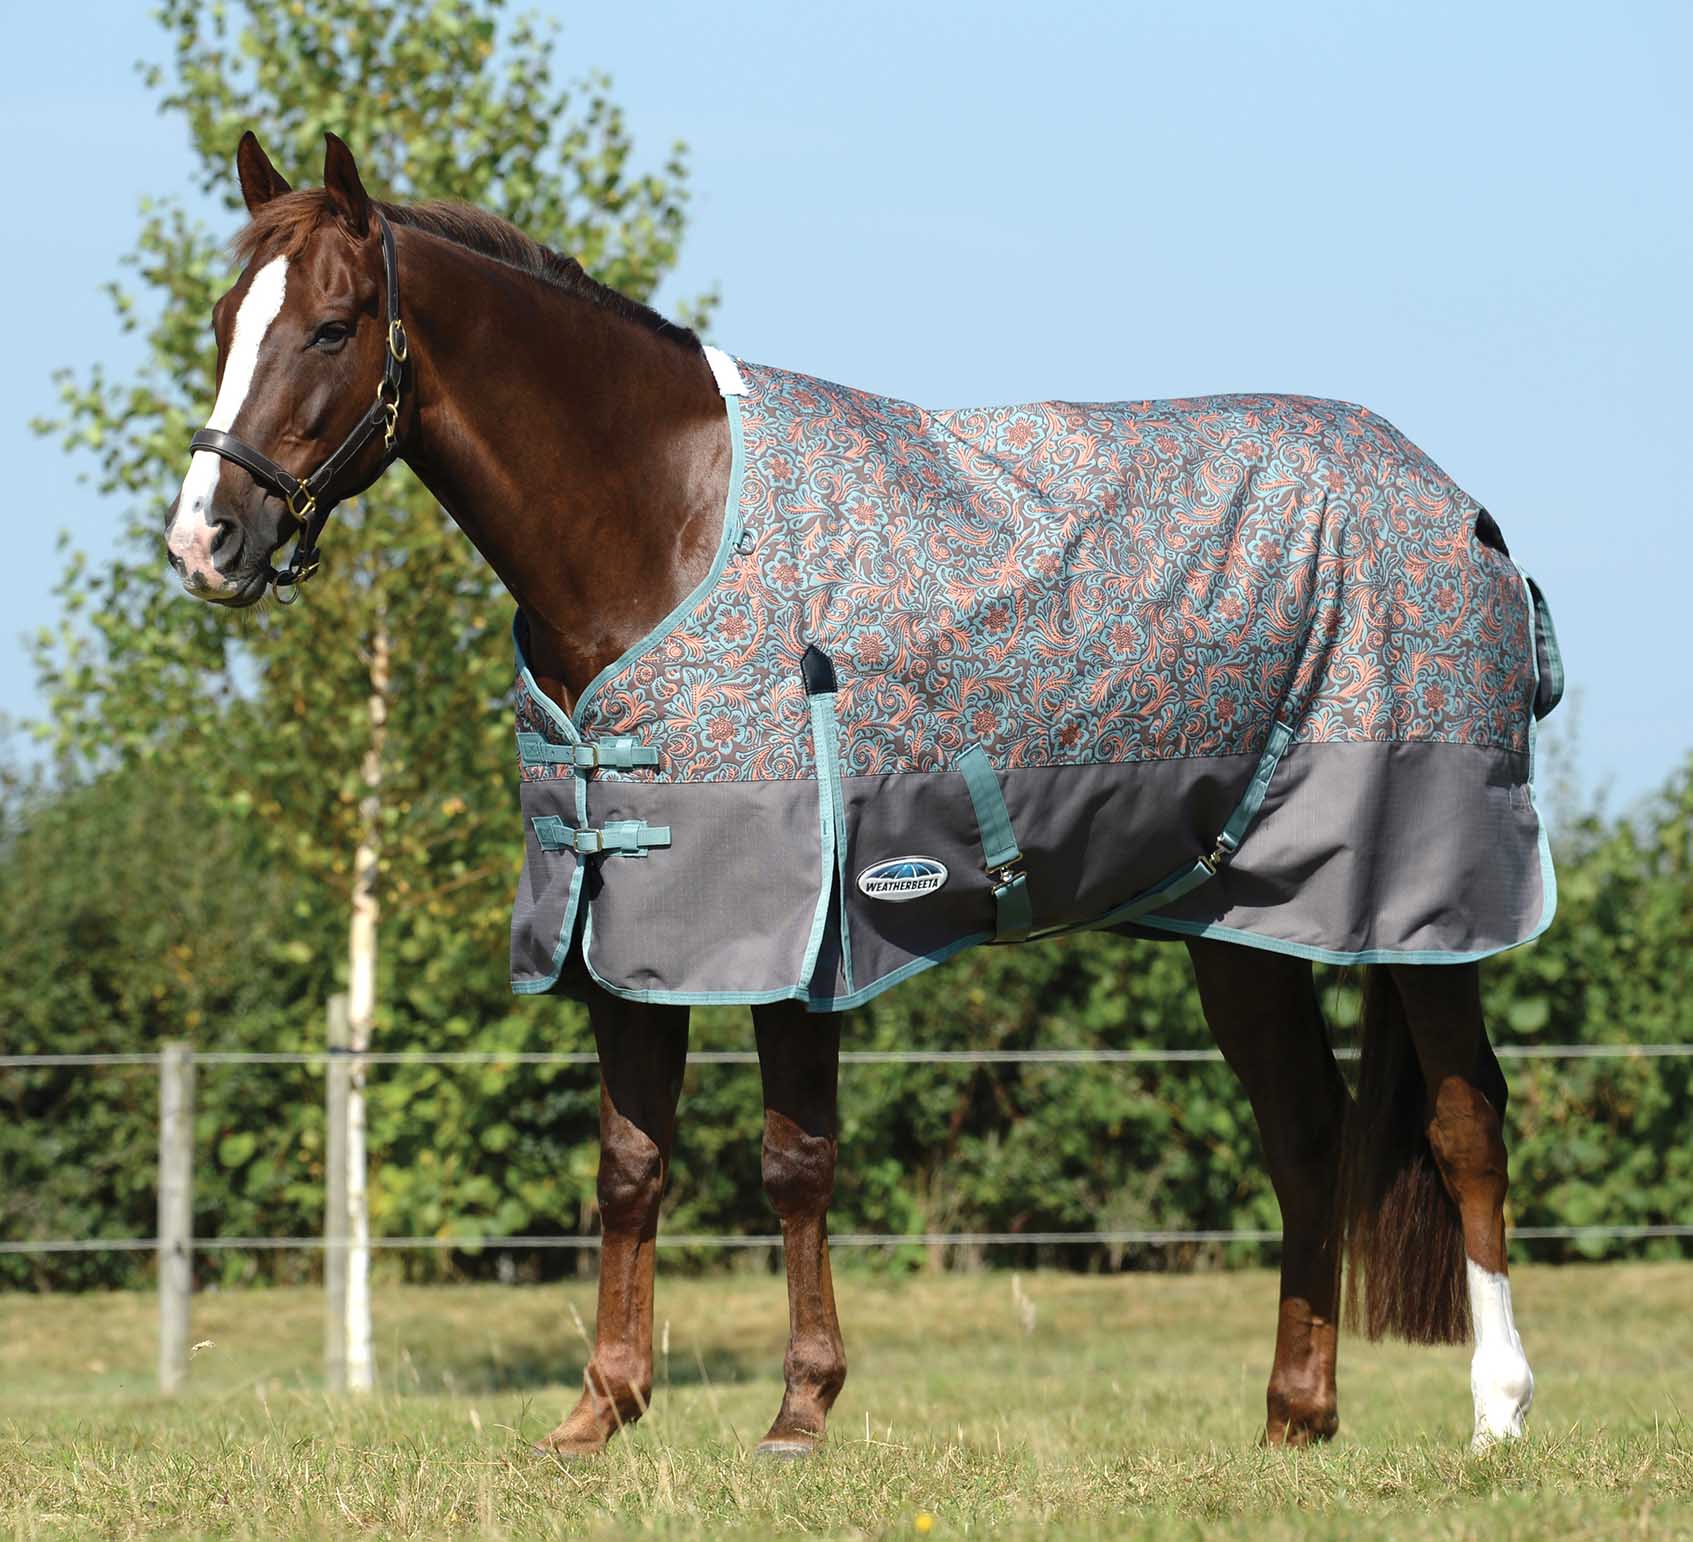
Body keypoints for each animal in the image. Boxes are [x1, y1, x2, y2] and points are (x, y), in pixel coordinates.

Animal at [166, 131, 1546, 1456]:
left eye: (332, 325)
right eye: (227, 317)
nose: (204, 541)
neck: (662, 526)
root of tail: (1460, 510)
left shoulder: (803, 932)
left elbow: (793, 1164)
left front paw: (800, 1411)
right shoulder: (626, 925)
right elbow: (629, 1165)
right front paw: (598, 1411)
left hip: (1425, 909)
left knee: (1464, 1122)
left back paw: (1495, 1413)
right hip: (1242, 921)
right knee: (1305, 1135)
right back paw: (1293, 1418)